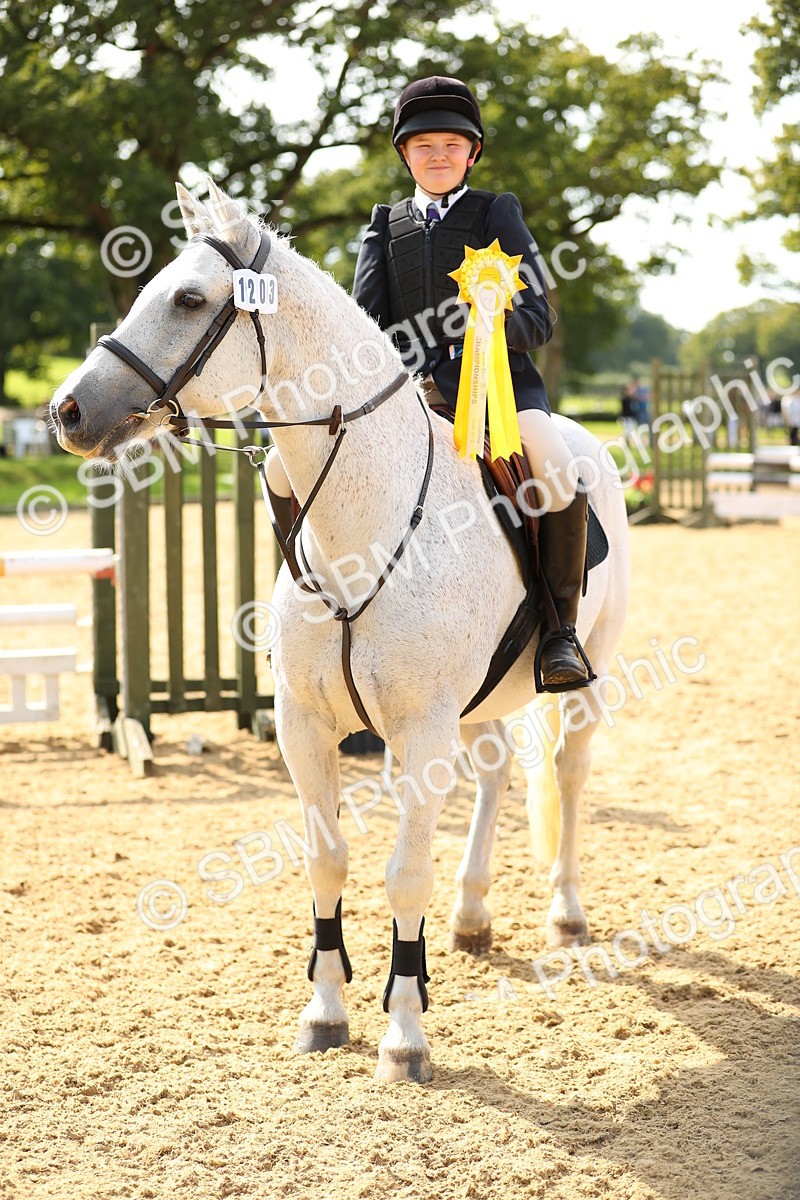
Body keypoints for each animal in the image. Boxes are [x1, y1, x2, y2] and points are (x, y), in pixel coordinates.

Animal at [52, 179, 630, 1083]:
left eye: (189, 300)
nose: (67, 410)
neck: (363, 520)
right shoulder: (305, 724)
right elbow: (326, 862)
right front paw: (325, 1013)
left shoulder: (421, 730)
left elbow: (404, 875)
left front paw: (404, 1037)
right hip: (481, 700)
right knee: (500, 772)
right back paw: (471, 915)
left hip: (585, 665)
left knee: (568, 774)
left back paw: (565, 914)